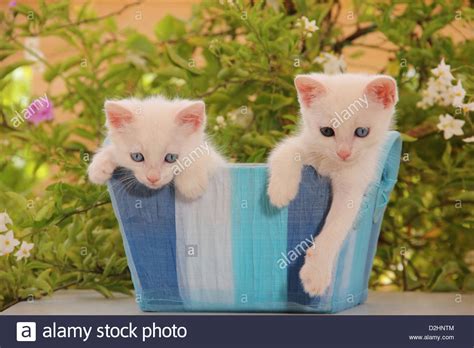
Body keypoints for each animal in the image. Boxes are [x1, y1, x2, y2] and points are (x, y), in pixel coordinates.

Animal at [89, 96, 226, 198]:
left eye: (171, 157)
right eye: (137, 157)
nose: (153, 178)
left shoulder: (214, 159)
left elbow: (201, 157)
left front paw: (191, 182)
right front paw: (99, 165)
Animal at [268, 73, 398, 296]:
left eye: (361, 131)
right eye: (327, 131)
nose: (343, 153)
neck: (332, 164)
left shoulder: (353, 184)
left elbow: (336, 226)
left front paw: (316, 272)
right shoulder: (305, 143)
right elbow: (286, 150)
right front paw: (280, 190)